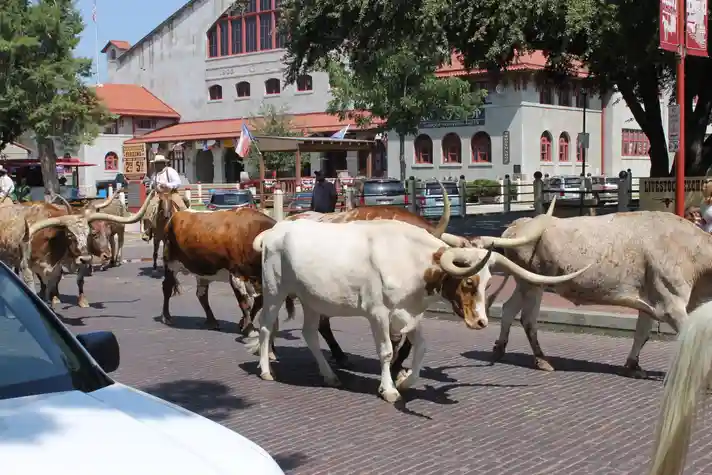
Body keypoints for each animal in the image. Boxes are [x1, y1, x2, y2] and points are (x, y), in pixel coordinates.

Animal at [252, 188, 588, 404]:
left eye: (489, 280)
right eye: (469, 281)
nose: (481, 321)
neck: (409, 258)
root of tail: (276, 230)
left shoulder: (409, 314)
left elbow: (420, 348)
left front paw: (404, 380)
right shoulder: (378, 313)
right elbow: (387, 352)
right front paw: (388, 389)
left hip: (311, 298)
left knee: (310, 332)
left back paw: (329, 375)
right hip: (274, 290)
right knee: (266, 325)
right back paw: (266, 370)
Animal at [484, 211, 712, 380]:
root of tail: (519, 224)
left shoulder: (652, 303)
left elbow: (641, 333)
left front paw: (632, 366)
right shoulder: (671, 304)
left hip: (527, 282)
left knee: (509, 309)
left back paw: (500, 349)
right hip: (531, 283)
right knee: (527, 318)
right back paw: (541, 359)